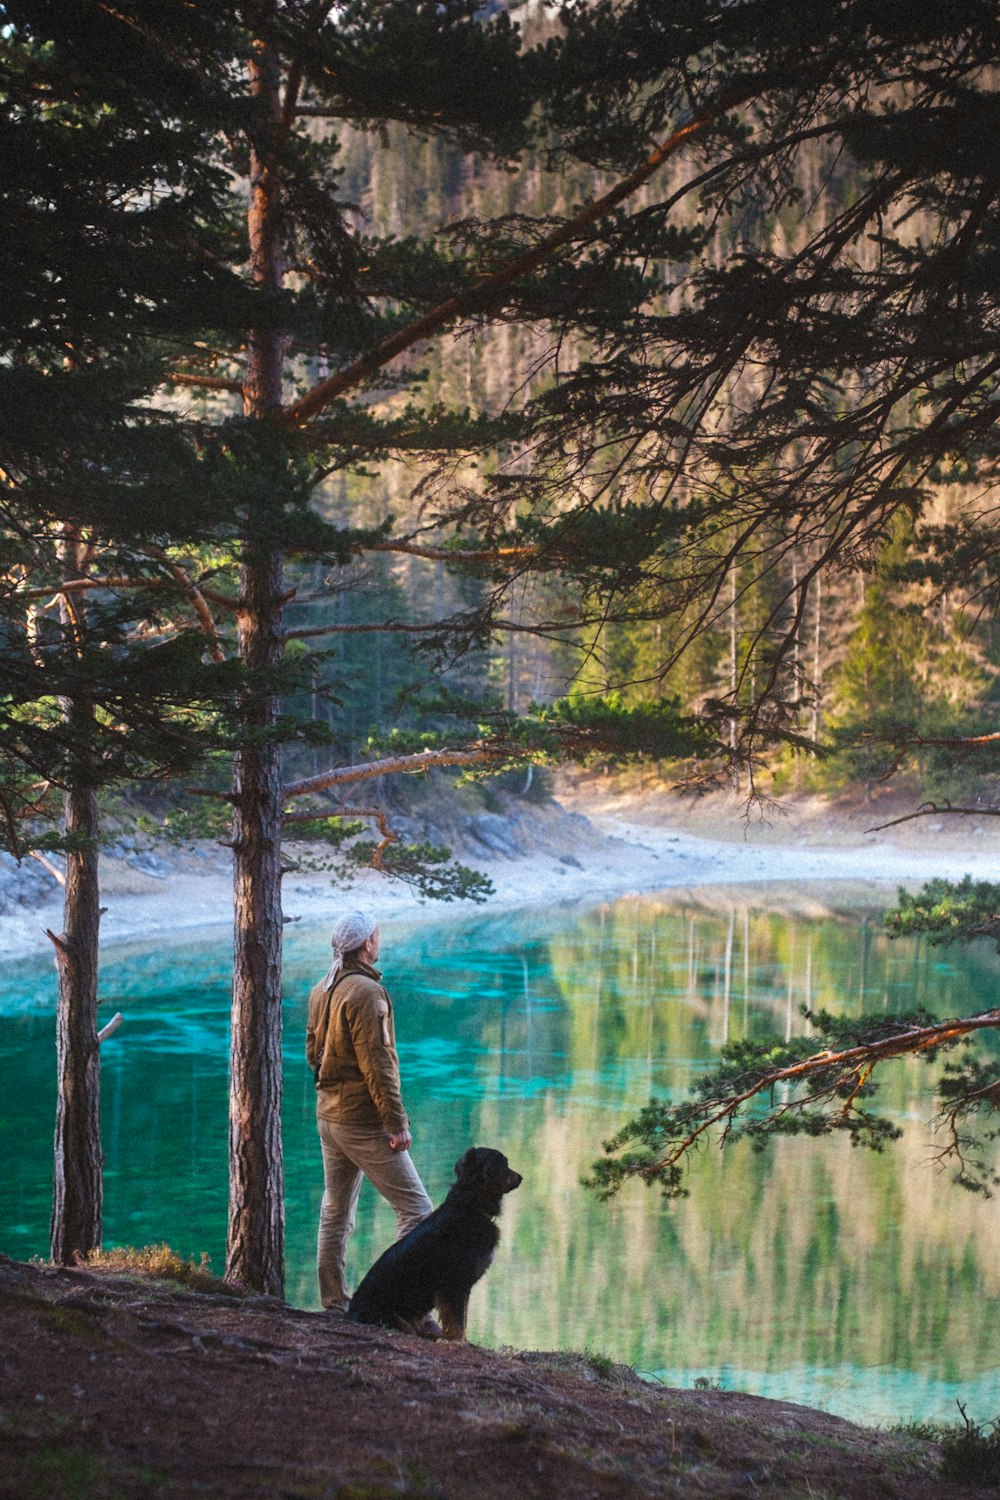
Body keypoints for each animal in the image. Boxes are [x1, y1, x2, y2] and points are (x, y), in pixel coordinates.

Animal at [346, 1140, 524, 1344]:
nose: (521, 1177)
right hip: (395, 1317)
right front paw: (458, 1342)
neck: (470, 1206)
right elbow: (457, 1320)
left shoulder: (461, 1286)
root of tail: (351, 1312)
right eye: (505, 1164)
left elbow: (463, 1316)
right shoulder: (454, 1284)